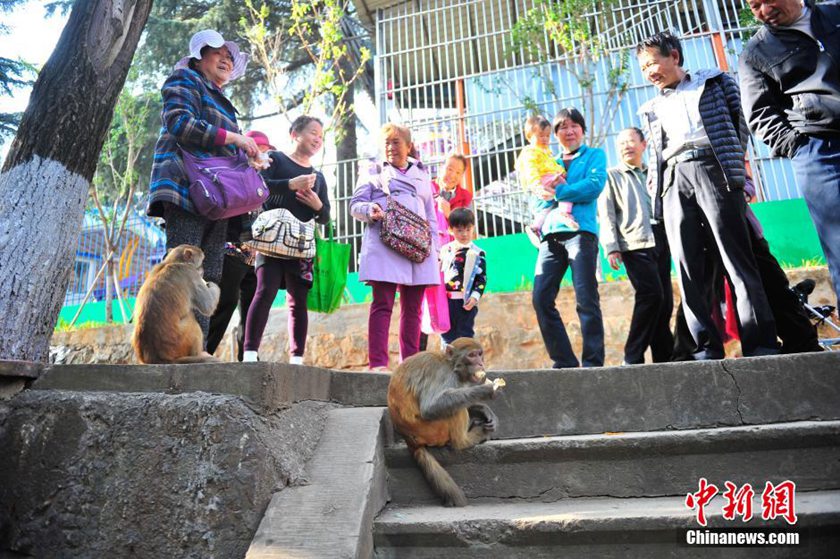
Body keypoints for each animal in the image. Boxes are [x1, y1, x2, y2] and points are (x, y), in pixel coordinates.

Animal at [388, 336, 506, 508]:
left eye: (479, 354)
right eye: (471, 355)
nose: (480, 363)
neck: (451, 365)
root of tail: (410, 440)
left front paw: (485, 410)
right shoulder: (444, 375)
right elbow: (431, 406)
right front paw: (486, 390)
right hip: (433, 431)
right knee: (453, 411)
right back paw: (466, 440)